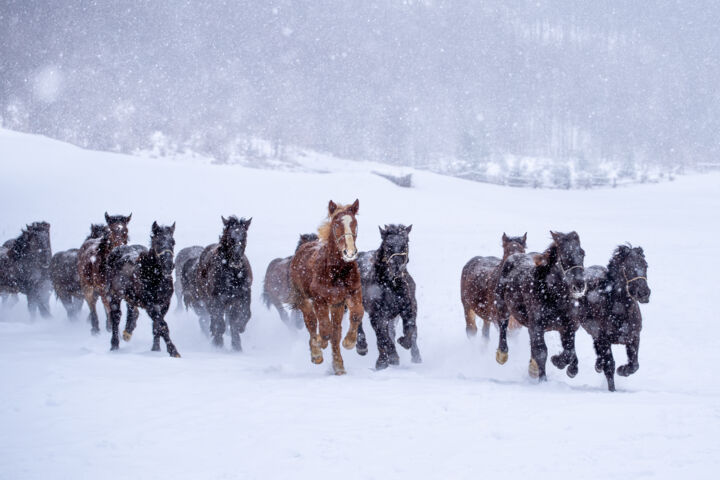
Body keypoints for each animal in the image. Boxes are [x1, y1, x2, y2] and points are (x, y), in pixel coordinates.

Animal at [102, 222, 179, 356]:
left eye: (173, 242)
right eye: (157, 242)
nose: (169, 265)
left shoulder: (164, 304)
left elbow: (157, 326)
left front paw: (155, 349)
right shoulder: (150, 305)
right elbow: (162, 326)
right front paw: (174, 351)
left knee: (132, 310)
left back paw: (127, 332)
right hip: (114, 295)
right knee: (116, 316)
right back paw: (114, 345)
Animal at [288, 199, 362, 376]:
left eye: (355, 223)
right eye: (336, 224)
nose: (350, 252)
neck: (336, 271)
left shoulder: (351, 293)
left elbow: (357, 314)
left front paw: (349, 342)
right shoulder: (318, 299)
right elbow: (324, 330)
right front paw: (320, 342)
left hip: (336, 305)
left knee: (335, 332)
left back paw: (338, 366)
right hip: (303, 299)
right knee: (311, 323)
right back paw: (316, 353)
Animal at [356, 225, 422, 372]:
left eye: (405, 243)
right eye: (388, 245)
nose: (396, 267)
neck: (391, 285)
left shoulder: (408, 309)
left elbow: (409, 330)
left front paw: (403, 343)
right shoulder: (376, 315)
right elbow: (383, 338)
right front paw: (384, 361)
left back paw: (416, 357)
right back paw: (362, 347)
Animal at [492, 232, 588, 382]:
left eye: (582, 253)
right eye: (563, 256)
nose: (579, 285)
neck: (554, 297)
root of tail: (513, 256)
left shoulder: (568, 327)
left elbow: (569, 351)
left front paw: (565, 366)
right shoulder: (537, 326)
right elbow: (541, 352)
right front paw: (543, 379)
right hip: (502, 307)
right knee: (503, 326)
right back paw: (502, 355)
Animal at [572, 244, 652, 390]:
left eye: (645, 265)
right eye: (628, 267)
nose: (644, 293)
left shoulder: (634, 337)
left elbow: (634, 365)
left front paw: (623, 370)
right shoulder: (604, 339)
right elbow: (610, 365)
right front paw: (612, 389)